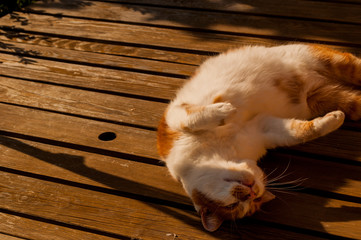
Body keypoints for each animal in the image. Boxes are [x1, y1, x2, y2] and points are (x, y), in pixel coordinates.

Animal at [155, 44, 360, 232]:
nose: (252, 192)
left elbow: (190, 120)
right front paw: (333, 119)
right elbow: (299, 132)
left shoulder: (173, 118)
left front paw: (225, 111)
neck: (223, 153)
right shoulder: (264, 127)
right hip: (327, 98)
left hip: (327, 59)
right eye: (237, 206)